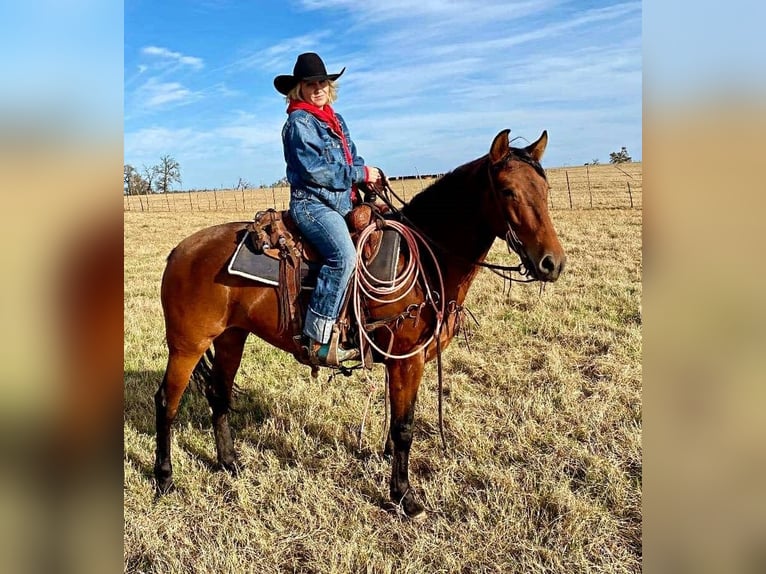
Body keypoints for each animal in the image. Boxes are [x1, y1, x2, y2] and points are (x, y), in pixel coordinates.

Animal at [154, 130, 564, 520]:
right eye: (508, 191)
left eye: (545, 190)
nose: (552, 263)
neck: (425, 262)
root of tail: (179, 251)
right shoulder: (406, 359)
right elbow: (404, 427)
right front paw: (405, 497)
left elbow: (395, 418)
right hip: (187, 345)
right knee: (167, 402)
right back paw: (165, 478)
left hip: (230, 338)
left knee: (219, 394)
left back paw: (229, 463)